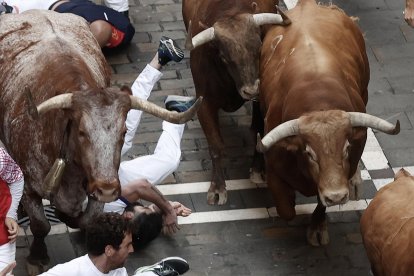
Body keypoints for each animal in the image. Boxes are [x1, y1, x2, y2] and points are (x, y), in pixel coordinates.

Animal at [0, 10, 200, 274]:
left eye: (124, 131)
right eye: (82, 132)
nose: (107, 188)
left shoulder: (95, 191)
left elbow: (86, 218)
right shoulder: (29, 184)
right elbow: (40, 224)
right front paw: (37, 258)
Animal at [183, 0, 290, 205]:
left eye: (259, 47)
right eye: (224, 57)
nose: (251, 90)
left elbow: (258, 131)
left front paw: (257, 170)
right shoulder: (204, 104)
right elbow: (216, 145)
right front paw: (217, 188)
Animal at [258, 0, 400, 246]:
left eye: (346, 148)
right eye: (309, 153)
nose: (337, 196)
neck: (319, 104)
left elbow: (320, 202)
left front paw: (317, 226)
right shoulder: (273, 167)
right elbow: (287, 210)